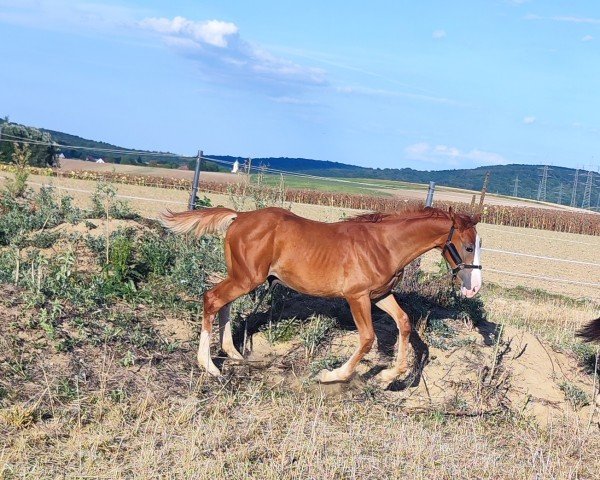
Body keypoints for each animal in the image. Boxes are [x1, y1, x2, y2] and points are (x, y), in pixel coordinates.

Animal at [161, 205, 482, 382]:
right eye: (468, 246)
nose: (474, 287)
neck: (384, 245)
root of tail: (240, 216)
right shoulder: (357, 297)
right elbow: (368, 338)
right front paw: (331, 375)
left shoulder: (379, 296)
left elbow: (403, 323)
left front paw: (390, 377)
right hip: (246, 278)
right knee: (212, 299)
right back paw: (209, 366)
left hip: (243, 278)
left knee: (224, 305)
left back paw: (233, 353)